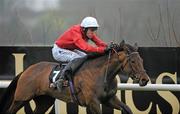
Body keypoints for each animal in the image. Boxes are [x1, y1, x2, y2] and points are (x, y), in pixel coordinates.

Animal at [0, 40, 149, 113]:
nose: (145, 79)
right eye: (133, 61)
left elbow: (127, 109)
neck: (103, 74)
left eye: (141, 60)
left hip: (44, 101)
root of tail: (26, 71)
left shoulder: (109, 99)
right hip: (21, 98)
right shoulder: (93, 102)